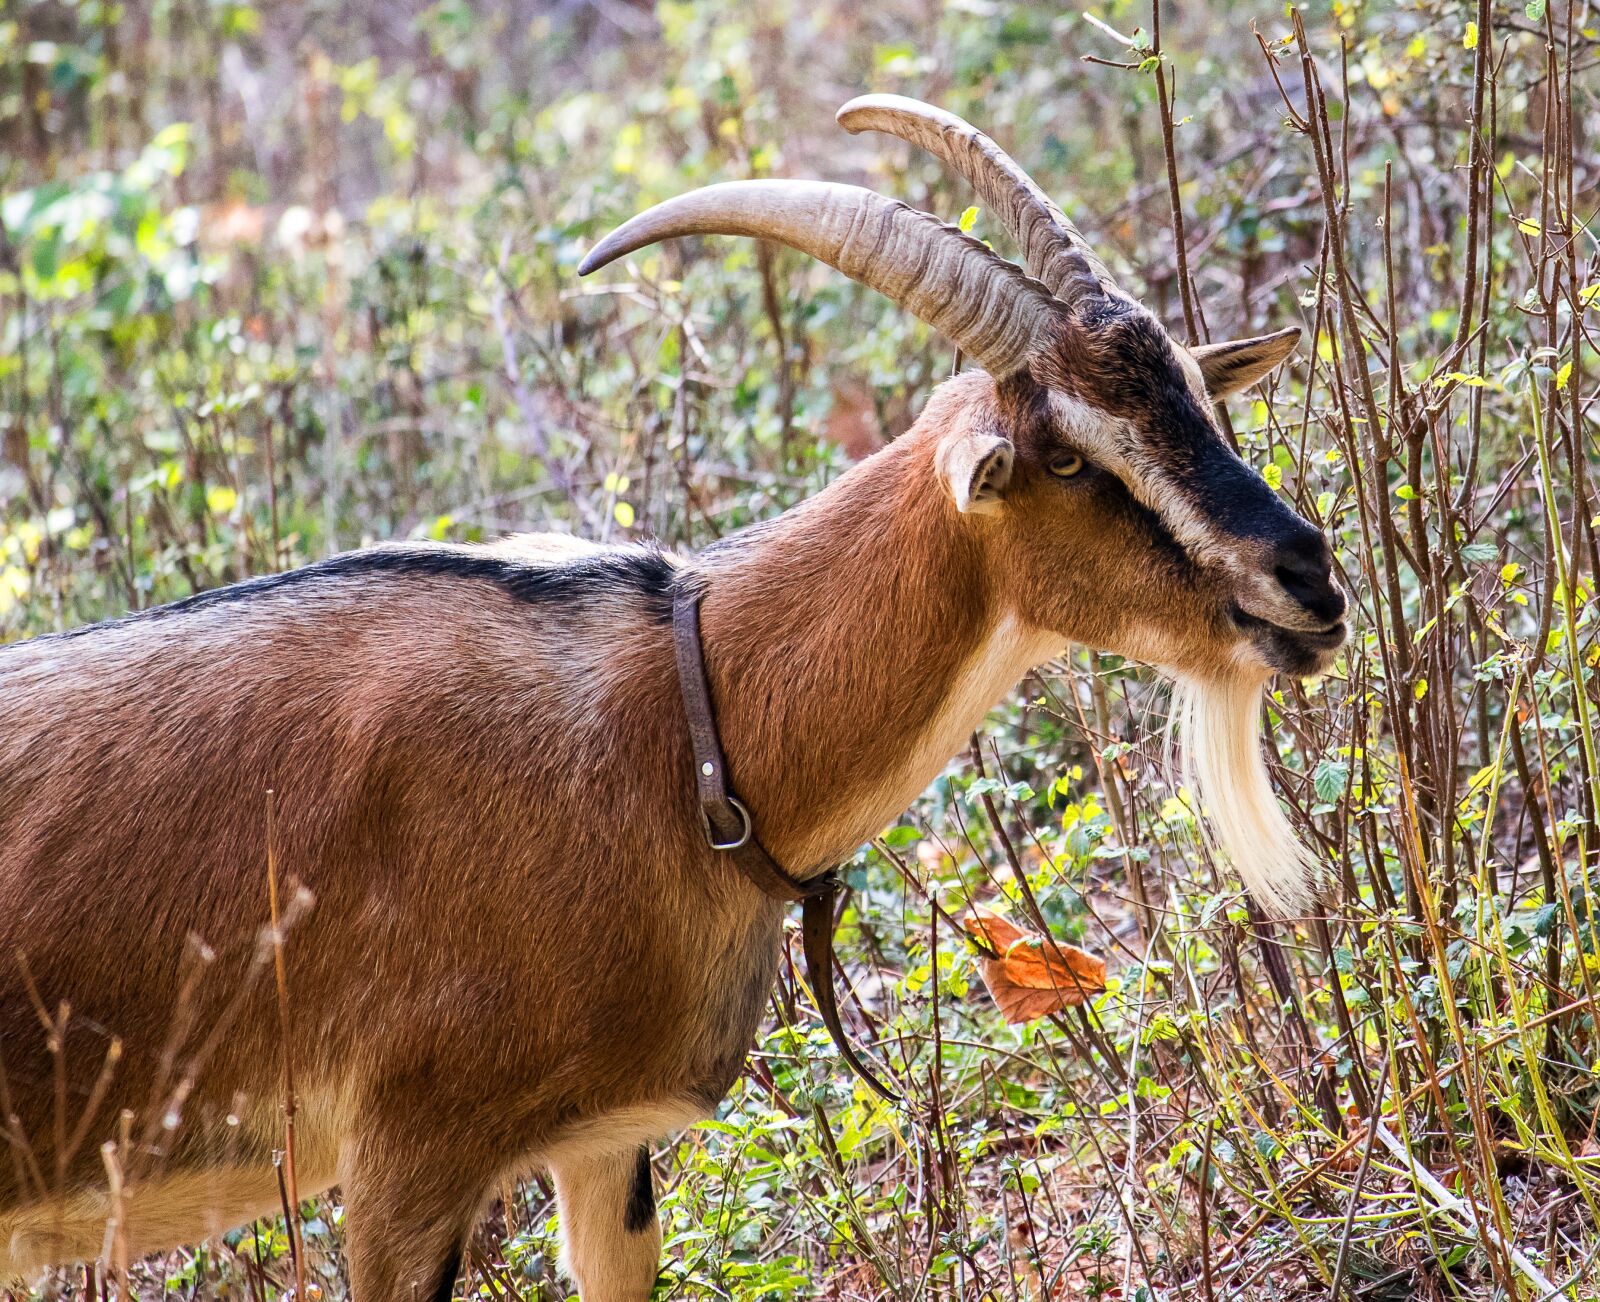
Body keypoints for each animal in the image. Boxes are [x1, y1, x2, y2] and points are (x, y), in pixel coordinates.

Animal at [0, 96, 1346, 1299]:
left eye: (1200, 403)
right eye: (1065, 456)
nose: (1308, 579)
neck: (684, 729)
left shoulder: (605, 1147)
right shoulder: (403, 1159)